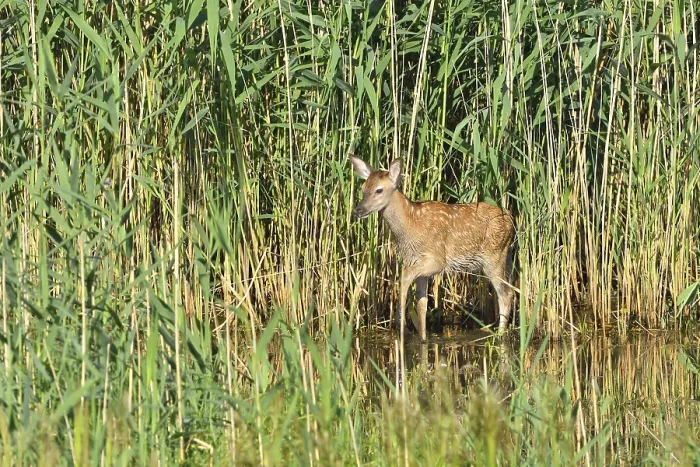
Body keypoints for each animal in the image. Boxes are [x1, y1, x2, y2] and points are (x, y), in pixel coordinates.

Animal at [350, 156, 516, 341]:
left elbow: (404, 276)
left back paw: (500, 334)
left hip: (494, 257)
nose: (358, 211)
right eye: (363, 188)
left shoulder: (437, 259)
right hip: (505, 258)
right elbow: (422, 305)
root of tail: (511, 218)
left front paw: (402, 324)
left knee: (506, 295)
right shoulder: (417, 264)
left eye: (379, 190)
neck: (411, 224)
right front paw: (422, 338)